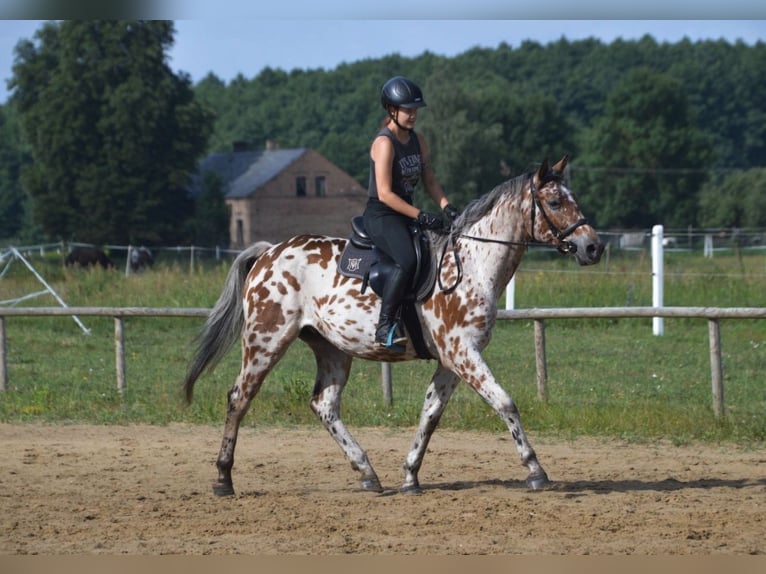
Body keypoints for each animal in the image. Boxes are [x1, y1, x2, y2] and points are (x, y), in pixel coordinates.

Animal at [183, 155, 604, 498]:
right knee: (239, 397)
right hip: (266, 340)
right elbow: (504, 402)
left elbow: (430, 414)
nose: (593, 247)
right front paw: (535, 469)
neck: (473, 264)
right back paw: (223, 479)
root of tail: (268, 253)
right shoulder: (463, 353)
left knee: (324, 405)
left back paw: (367, 473)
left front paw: (410, 475)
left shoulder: (452, 359)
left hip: (331, 349)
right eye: (555, 202)